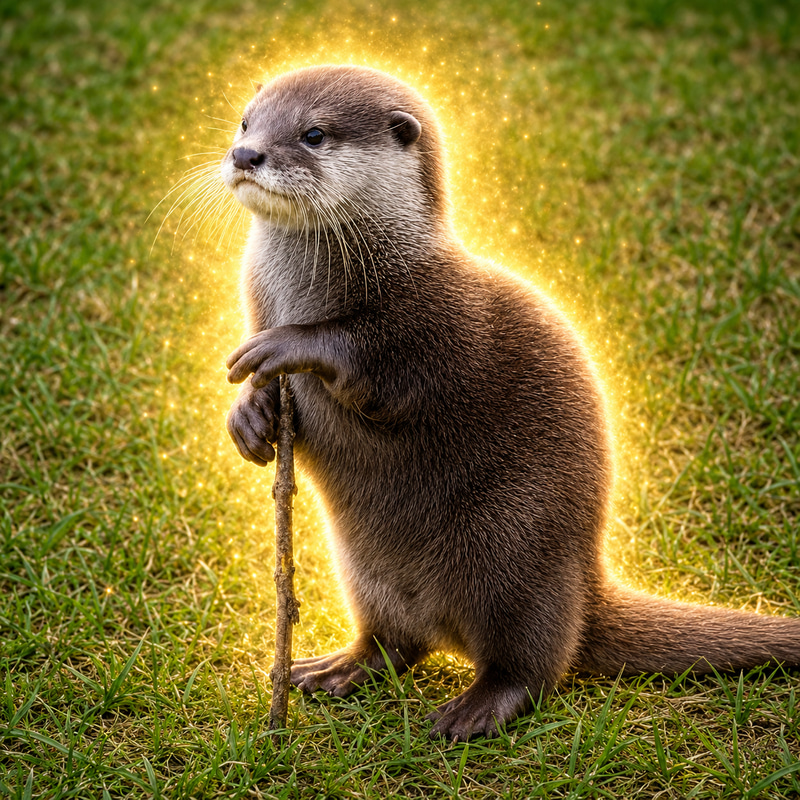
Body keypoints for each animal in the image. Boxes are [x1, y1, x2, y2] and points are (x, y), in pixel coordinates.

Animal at [220, 65, 800, 741]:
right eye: (246, 121)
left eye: (312, 133)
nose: (245, 154)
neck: (309, 288)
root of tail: (585, 586)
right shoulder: (256, 295)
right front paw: (249, 416)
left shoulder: (437, 317)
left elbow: (375, 365)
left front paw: (289, 344)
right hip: (367, 571)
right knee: (396, 643)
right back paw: (335, 669)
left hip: (512, 547)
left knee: (532, 662)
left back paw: (473, 710)